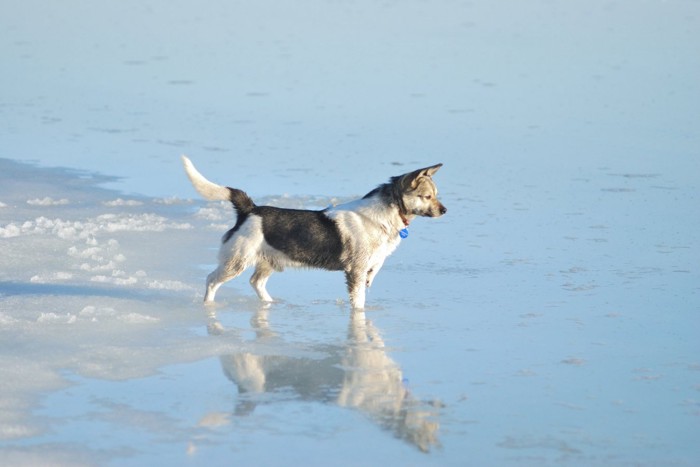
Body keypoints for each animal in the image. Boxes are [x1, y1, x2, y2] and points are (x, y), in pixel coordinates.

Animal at [183, 155, 446, 308]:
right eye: (427, 197)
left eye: (436, 195)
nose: (444, 210)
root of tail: (250, 209)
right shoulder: (354, 270)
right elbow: (359, 301)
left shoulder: (371, 261)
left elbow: (377, 266)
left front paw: (372, 278)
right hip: (237, 261)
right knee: (211, 280)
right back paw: (208, 306)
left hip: (267, 261)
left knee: (255, 282)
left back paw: (271, 303)